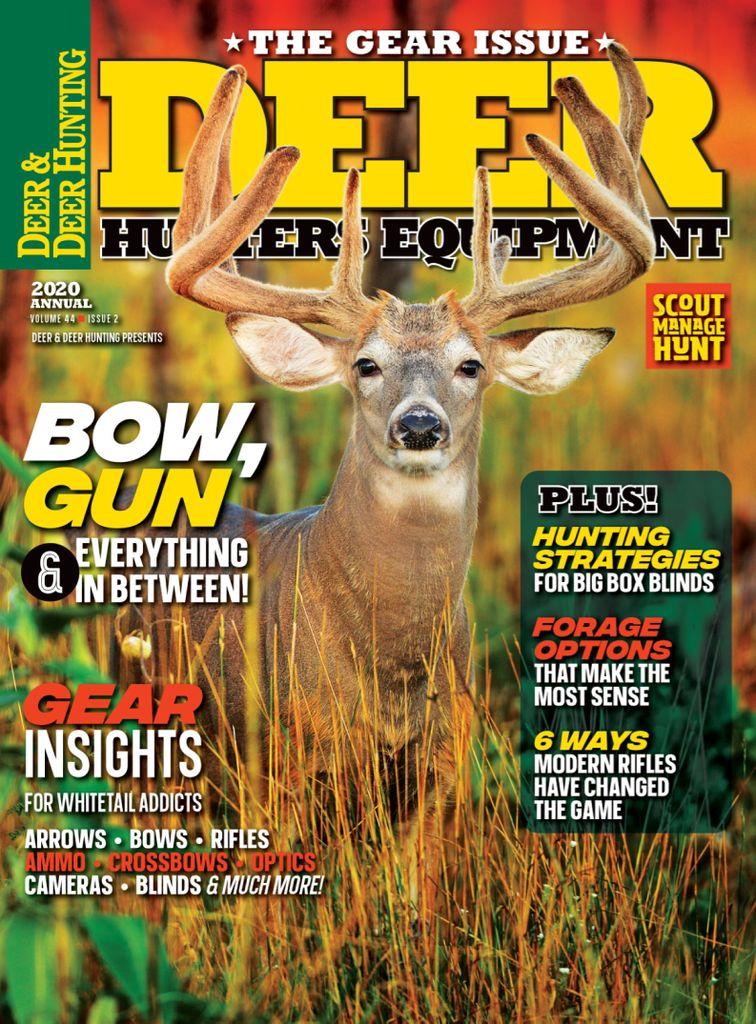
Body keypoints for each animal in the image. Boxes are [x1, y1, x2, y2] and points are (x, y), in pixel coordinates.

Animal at [153, 43, 654, 849]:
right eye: (366, 364)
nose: (419, 426)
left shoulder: (444, 763)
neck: (390, 663)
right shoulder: (279, 758)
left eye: (471, 365)